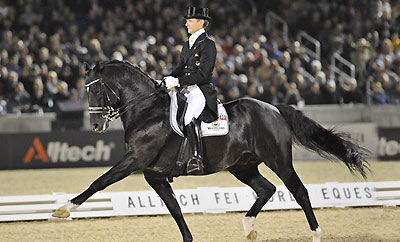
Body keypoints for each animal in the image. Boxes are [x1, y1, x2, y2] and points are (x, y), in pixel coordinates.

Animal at [53, 60, 368, 242]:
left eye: (96, 90)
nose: (96, 125)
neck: (147, 111)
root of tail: (274, 107)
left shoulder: (134, 160)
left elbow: (99, 181)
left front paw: (63, 209)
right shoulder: (153, 175)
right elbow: (175, 208)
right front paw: (189, 239)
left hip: (278, 159)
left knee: (299, 191)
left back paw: (315, 234)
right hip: (242, 165)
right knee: (266, 189)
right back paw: (248, 227)